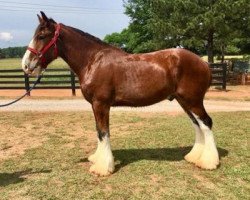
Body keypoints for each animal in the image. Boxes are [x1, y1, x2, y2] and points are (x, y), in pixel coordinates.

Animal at [22, 11, 220, 176]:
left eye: (41, 36)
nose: (25, 65)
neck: (93, 60)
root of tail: (203, 63)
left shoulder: (101, 104)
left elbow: (103, 132)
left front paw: (103, 167)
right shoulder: (96, 106)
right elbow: (99, 131)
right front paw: (98, 159)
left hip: (193, 100)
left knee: (206, 123)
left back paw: (209, 162)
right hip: (184, 101)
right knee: (197, 124)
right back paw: (194, 157)